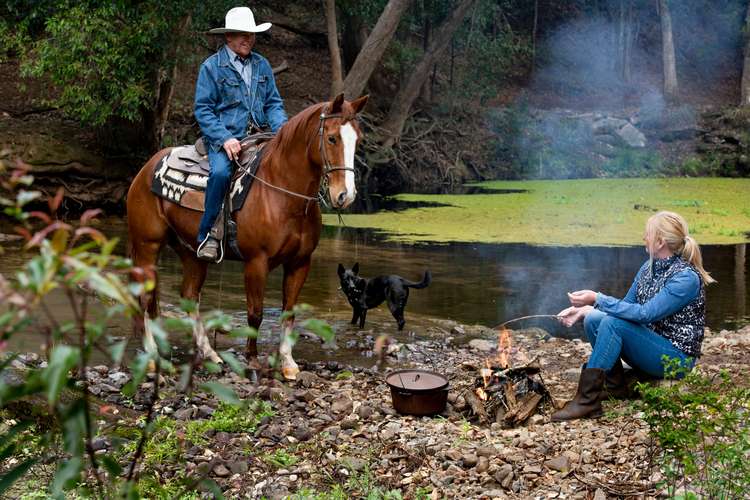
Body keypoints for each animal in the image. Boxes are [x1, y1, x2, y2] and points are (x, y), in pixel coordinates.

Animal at [128, 94, 368, 378]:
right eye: (332, 138)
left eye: (358, 139)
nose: (346, 195)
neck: (282, 193)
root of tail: (146, 168)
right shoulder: (256, 262)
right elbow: (255, 313)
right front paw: (252, 360)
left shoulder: (300, 263)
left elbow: (289, 313)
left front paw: (288, 363)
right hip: (147, 245)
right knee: (145, 298)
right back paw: (152, 357)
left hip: (191, 253)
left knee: (189, 296)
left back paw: (210, 353)